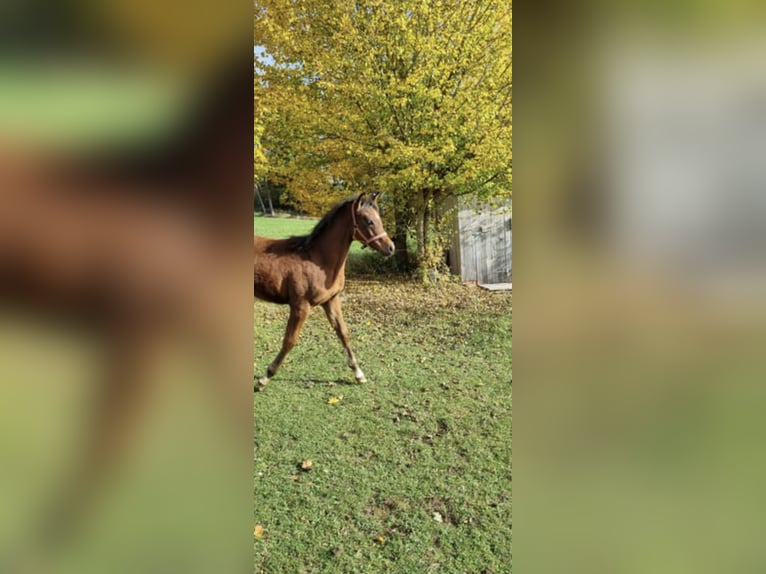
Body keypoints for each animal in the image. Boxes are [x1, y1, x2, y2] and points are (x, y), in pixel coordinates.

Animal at [255, 195, 396, 392]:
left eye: (379, 218)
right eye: (368, 221)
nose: (390, 248)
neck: (317, 260)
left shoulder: (331, 300)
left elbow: (343, 333)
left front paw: (359, 374)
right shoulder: (300, 306)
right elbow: (290, 340)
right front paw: (265, 377)